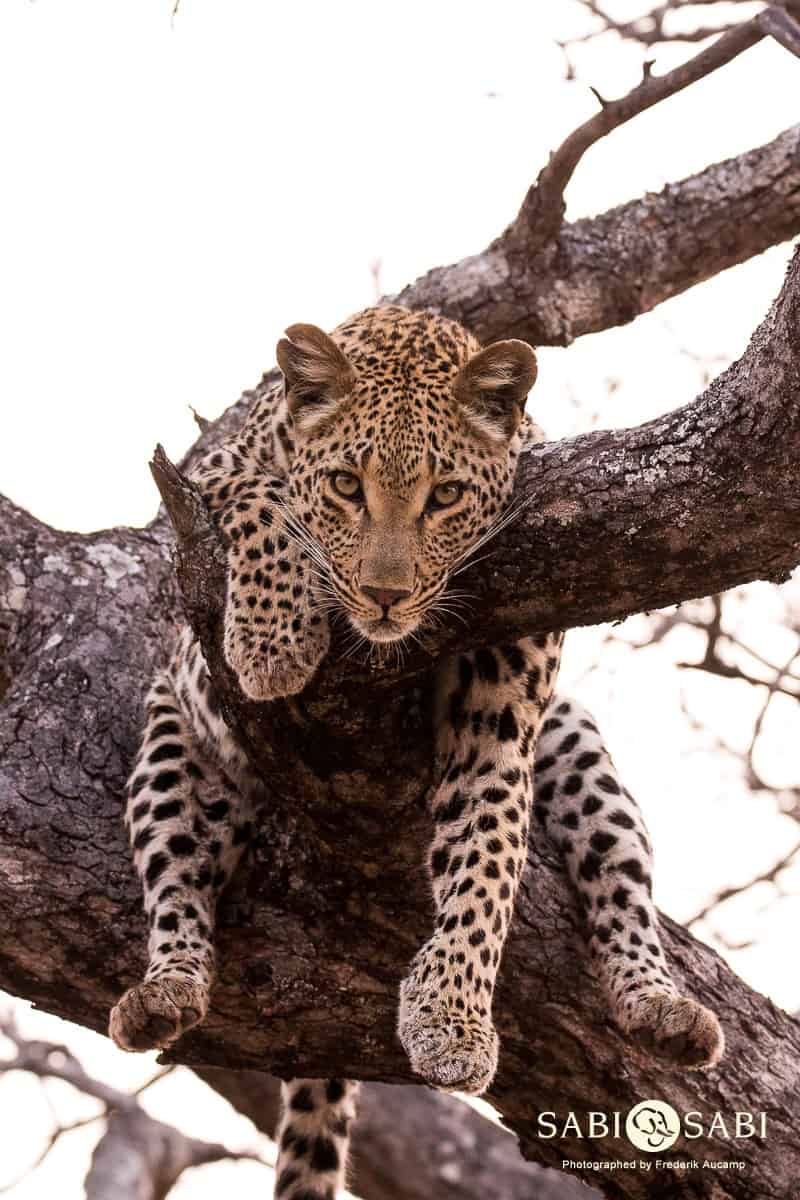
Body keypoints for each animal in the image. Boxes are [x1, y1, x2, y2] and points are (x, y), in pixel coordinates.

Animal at [109, 305, 724, 1200]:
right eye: (345, 487)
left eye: (447, 496)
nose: (384, 596)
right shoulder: (206, 498)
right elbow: (266, 500)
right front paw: (274, 638)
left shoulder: (507, 709)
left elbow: (489, 859)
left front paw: (452, 1021)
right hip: (168, 748)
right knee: (176, 881)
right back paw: (164, 989)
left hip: (578, 745)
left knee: (622, 874)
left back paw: (661, 1004)